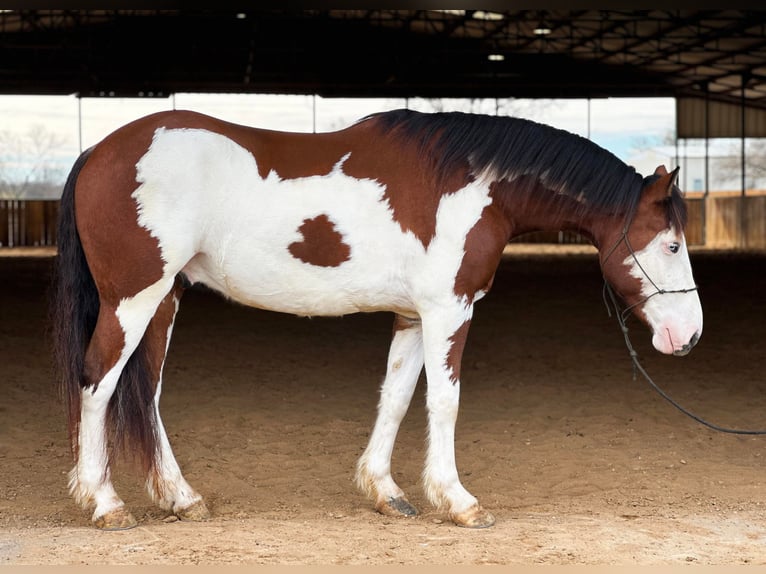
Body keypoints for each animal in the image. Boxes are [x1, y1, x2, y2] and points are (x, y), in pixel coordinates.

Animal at [51, 108, 704, 532]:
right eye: (672, 244)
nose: (689, 335)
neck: (472, 184)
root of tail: (98, 152)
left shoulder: (412, 316)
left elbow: (395, 397)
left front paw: (386, 492)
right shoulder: (449, 310)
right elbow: (444, 401)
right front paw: (458, 501)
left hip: (164, 301)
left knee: (146, 393)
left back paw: (180, 498)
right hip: (133, 299)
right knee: (98, 381)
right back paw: (105, 504)